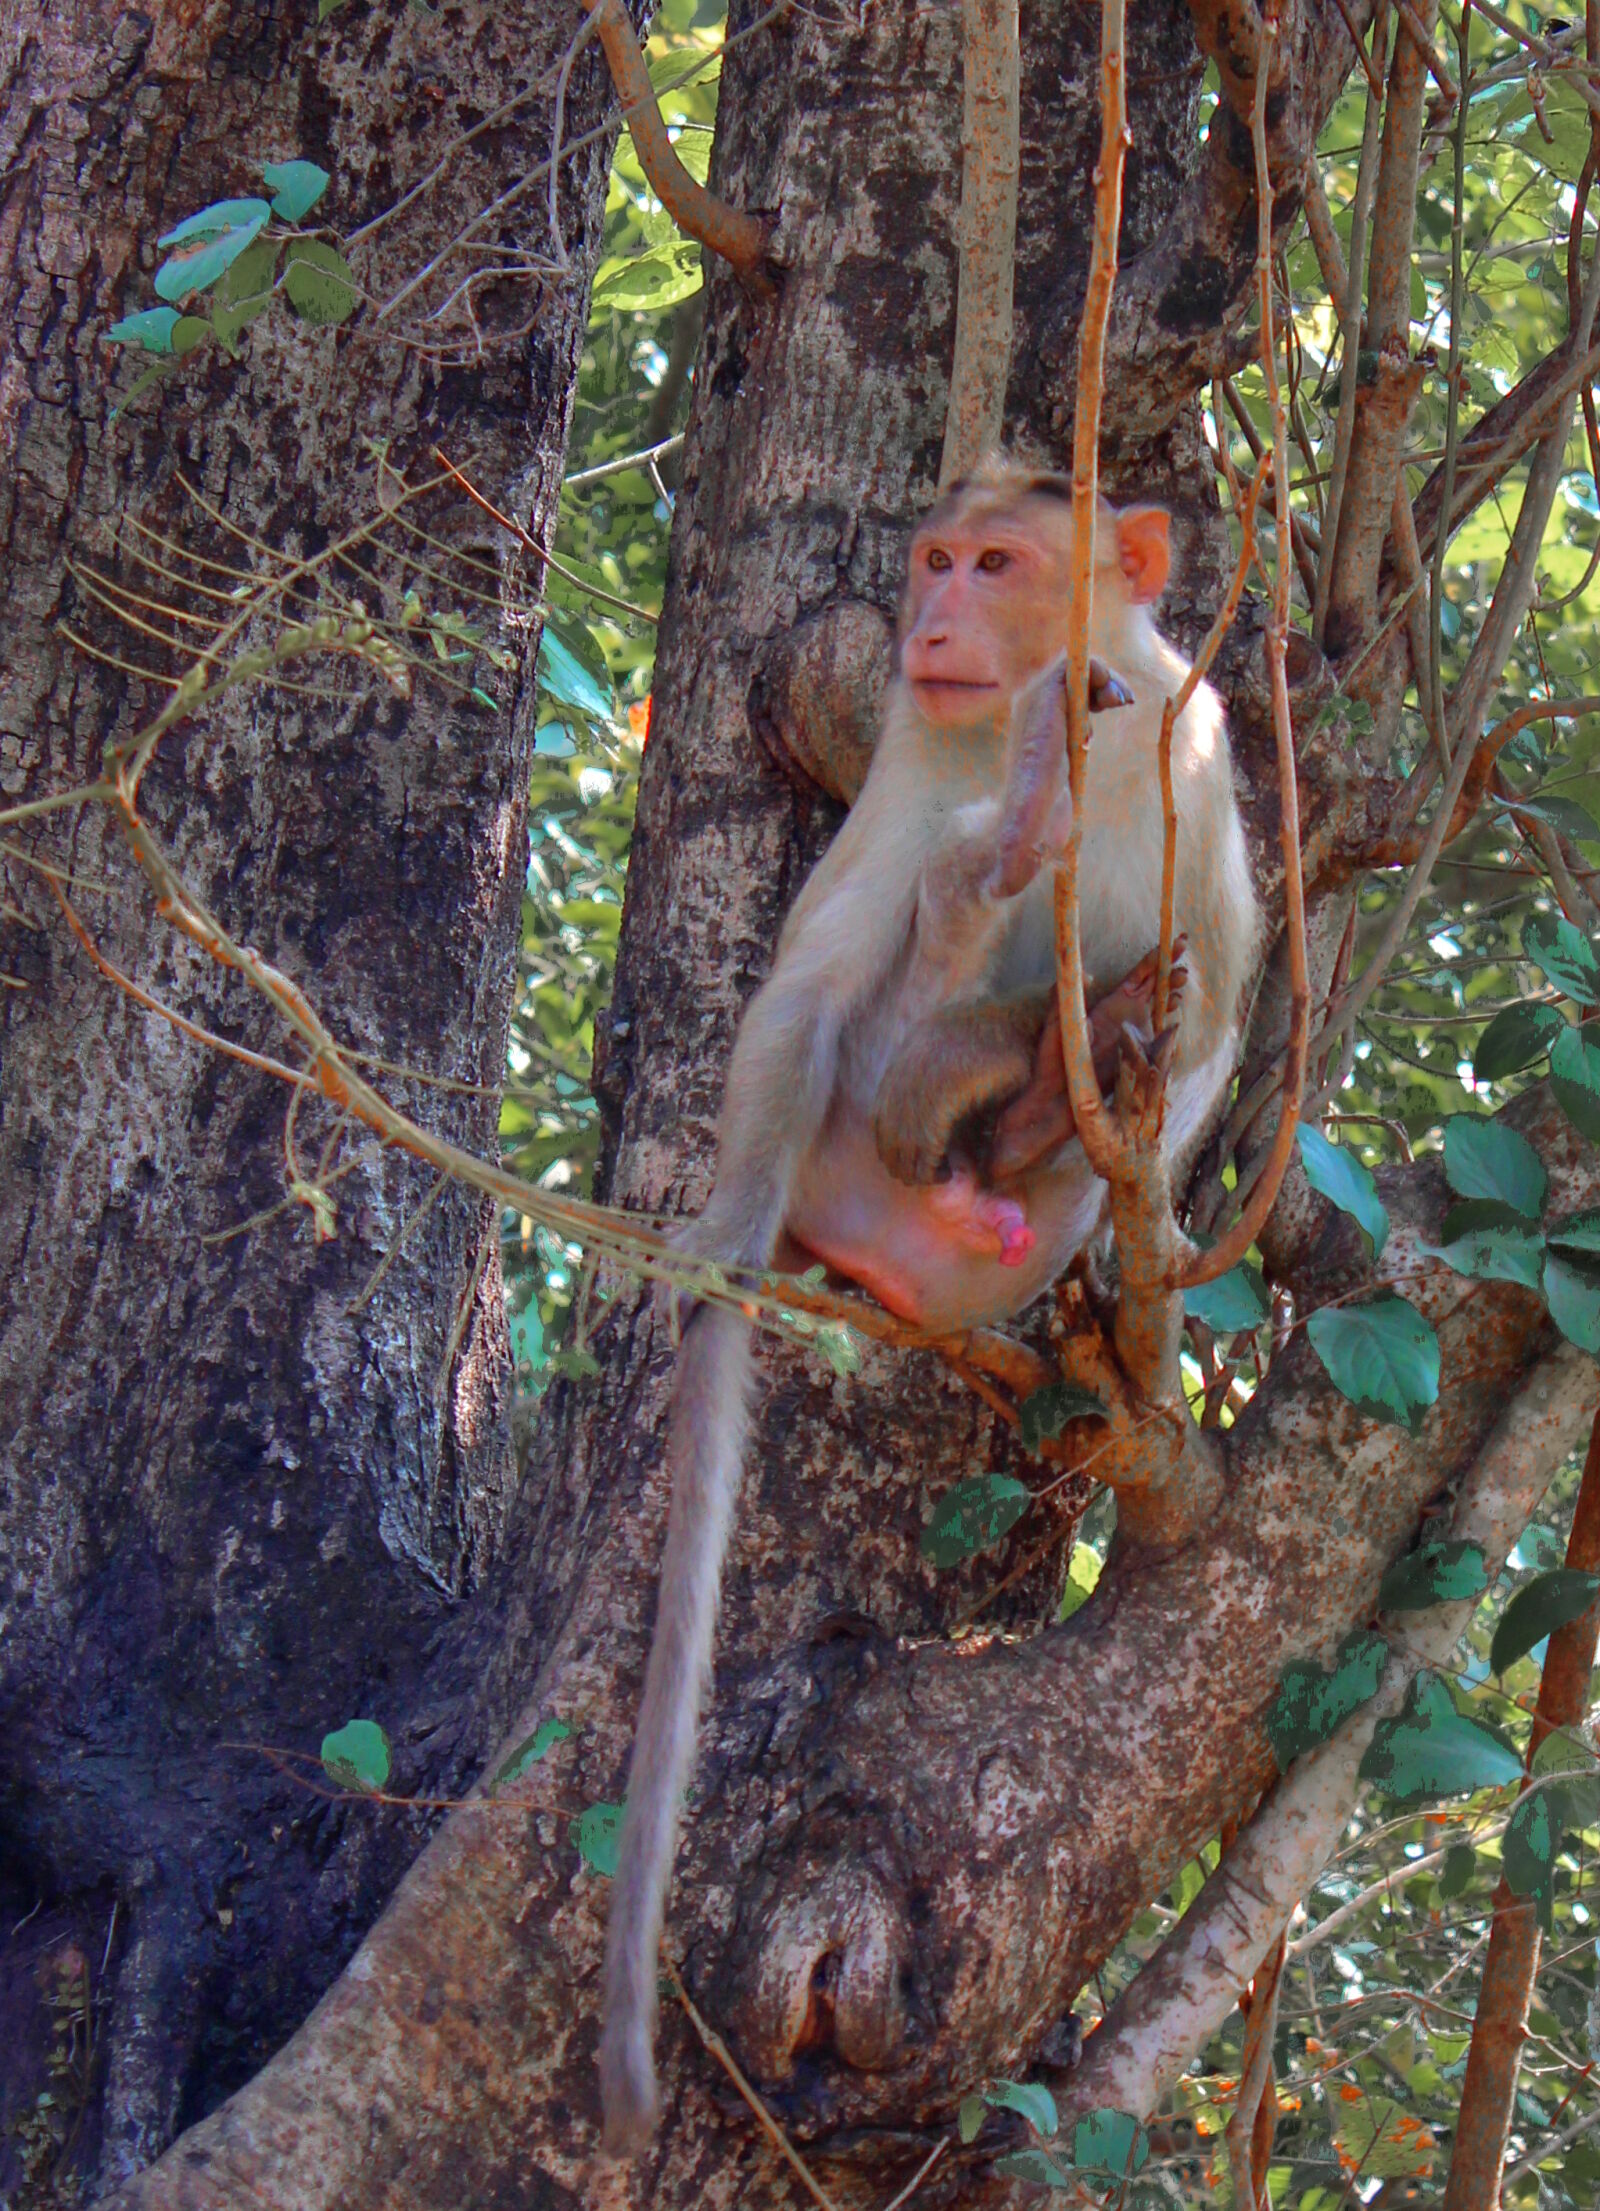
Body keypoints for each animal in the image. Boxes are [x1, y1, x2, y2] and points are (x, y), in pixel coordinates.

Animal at [599, 465, 1262, 2157]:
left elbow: (1224, 1010)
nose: (938, 616)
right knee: (902, 967)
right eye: (939, 561)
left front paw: (1153, 1272)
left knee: (1111, 1061)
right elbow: (802, 983)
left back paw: (1041, 1119)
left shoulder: (1203, 745)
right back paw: (1009, 875)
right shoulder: (914, 740)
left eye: (998, 562)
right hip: (840, 1139)